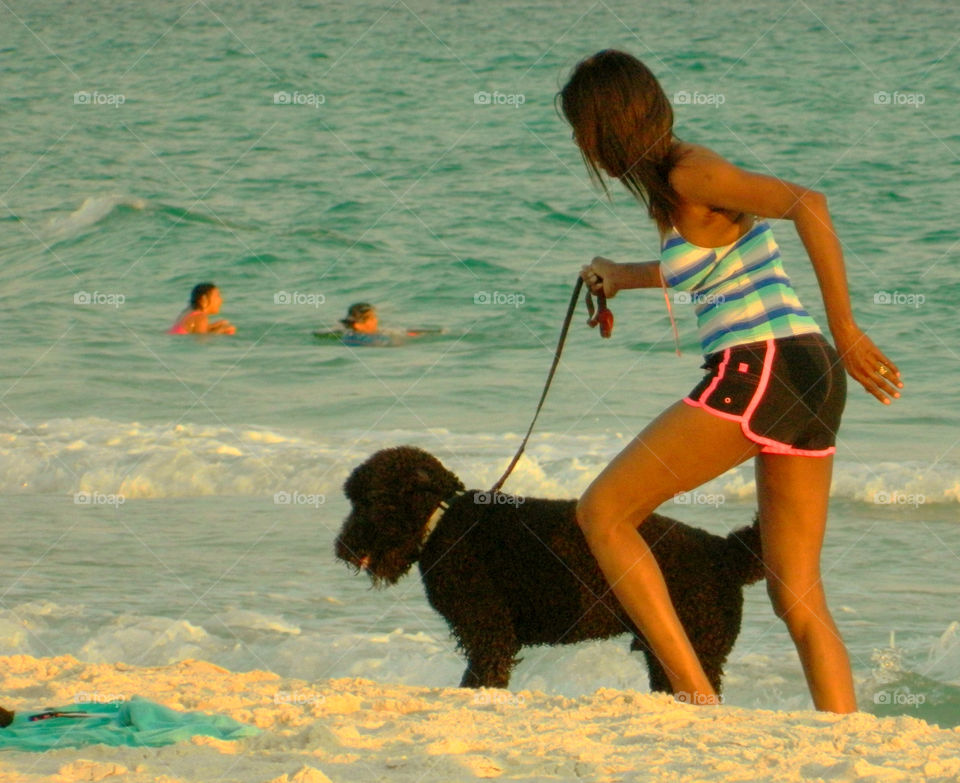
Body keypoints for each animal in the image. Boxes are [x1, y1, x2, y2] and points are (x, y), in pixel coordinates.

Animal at [338, 444, 764, 696]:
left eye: (372, 500)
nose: (343, 549)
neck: (442, 520)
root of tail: (724, 550)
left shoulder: (489, 633)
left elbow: (483, 677)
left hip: (696, 646)